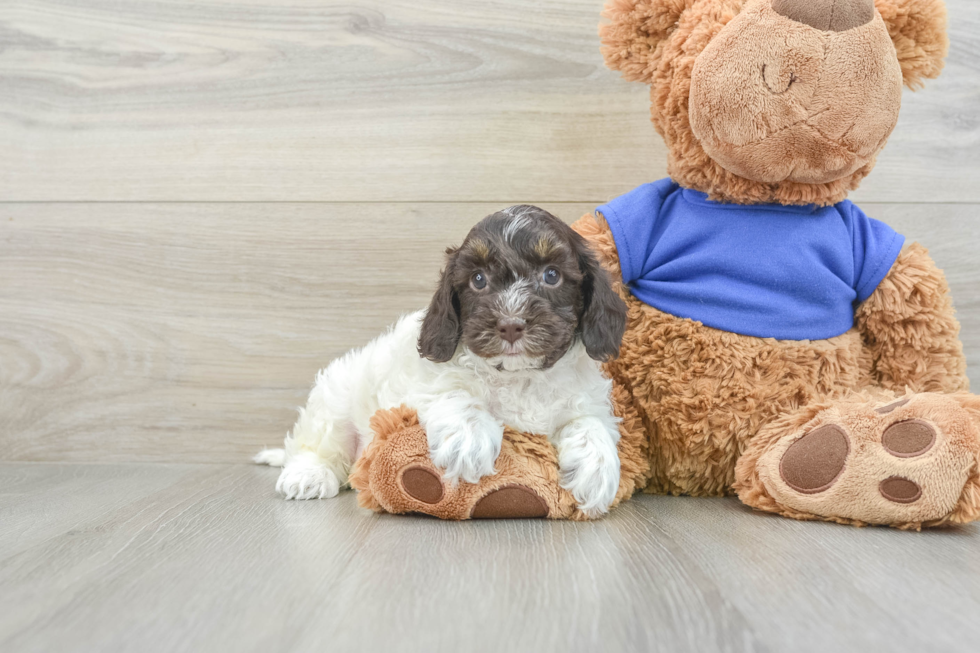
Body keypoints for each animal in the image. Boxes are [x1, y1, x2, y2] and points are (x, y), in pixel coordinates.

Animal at [256, 206, 628, 516]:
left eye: (552, 275)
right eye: (478, 280)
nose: (510, 324)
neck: (520, 377)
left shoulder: (584, 400)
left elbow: (591, 422)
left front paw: (597, 468)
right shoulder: (421, 382)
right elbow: (452, 392)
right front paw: (470, 438)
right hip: (336, 397)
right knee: (316, 443)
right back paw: (308, 475)